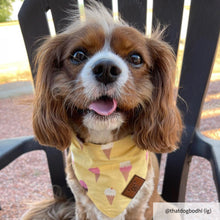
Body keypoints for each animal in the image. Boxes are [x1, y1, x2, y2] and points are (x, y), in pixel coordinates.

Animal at [22, 1, 182, 220]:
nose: (106, 68)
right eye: (78, 55)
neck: (106, 150)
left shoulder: (138, 206)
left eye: (136, 58)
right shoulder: (81, 205)